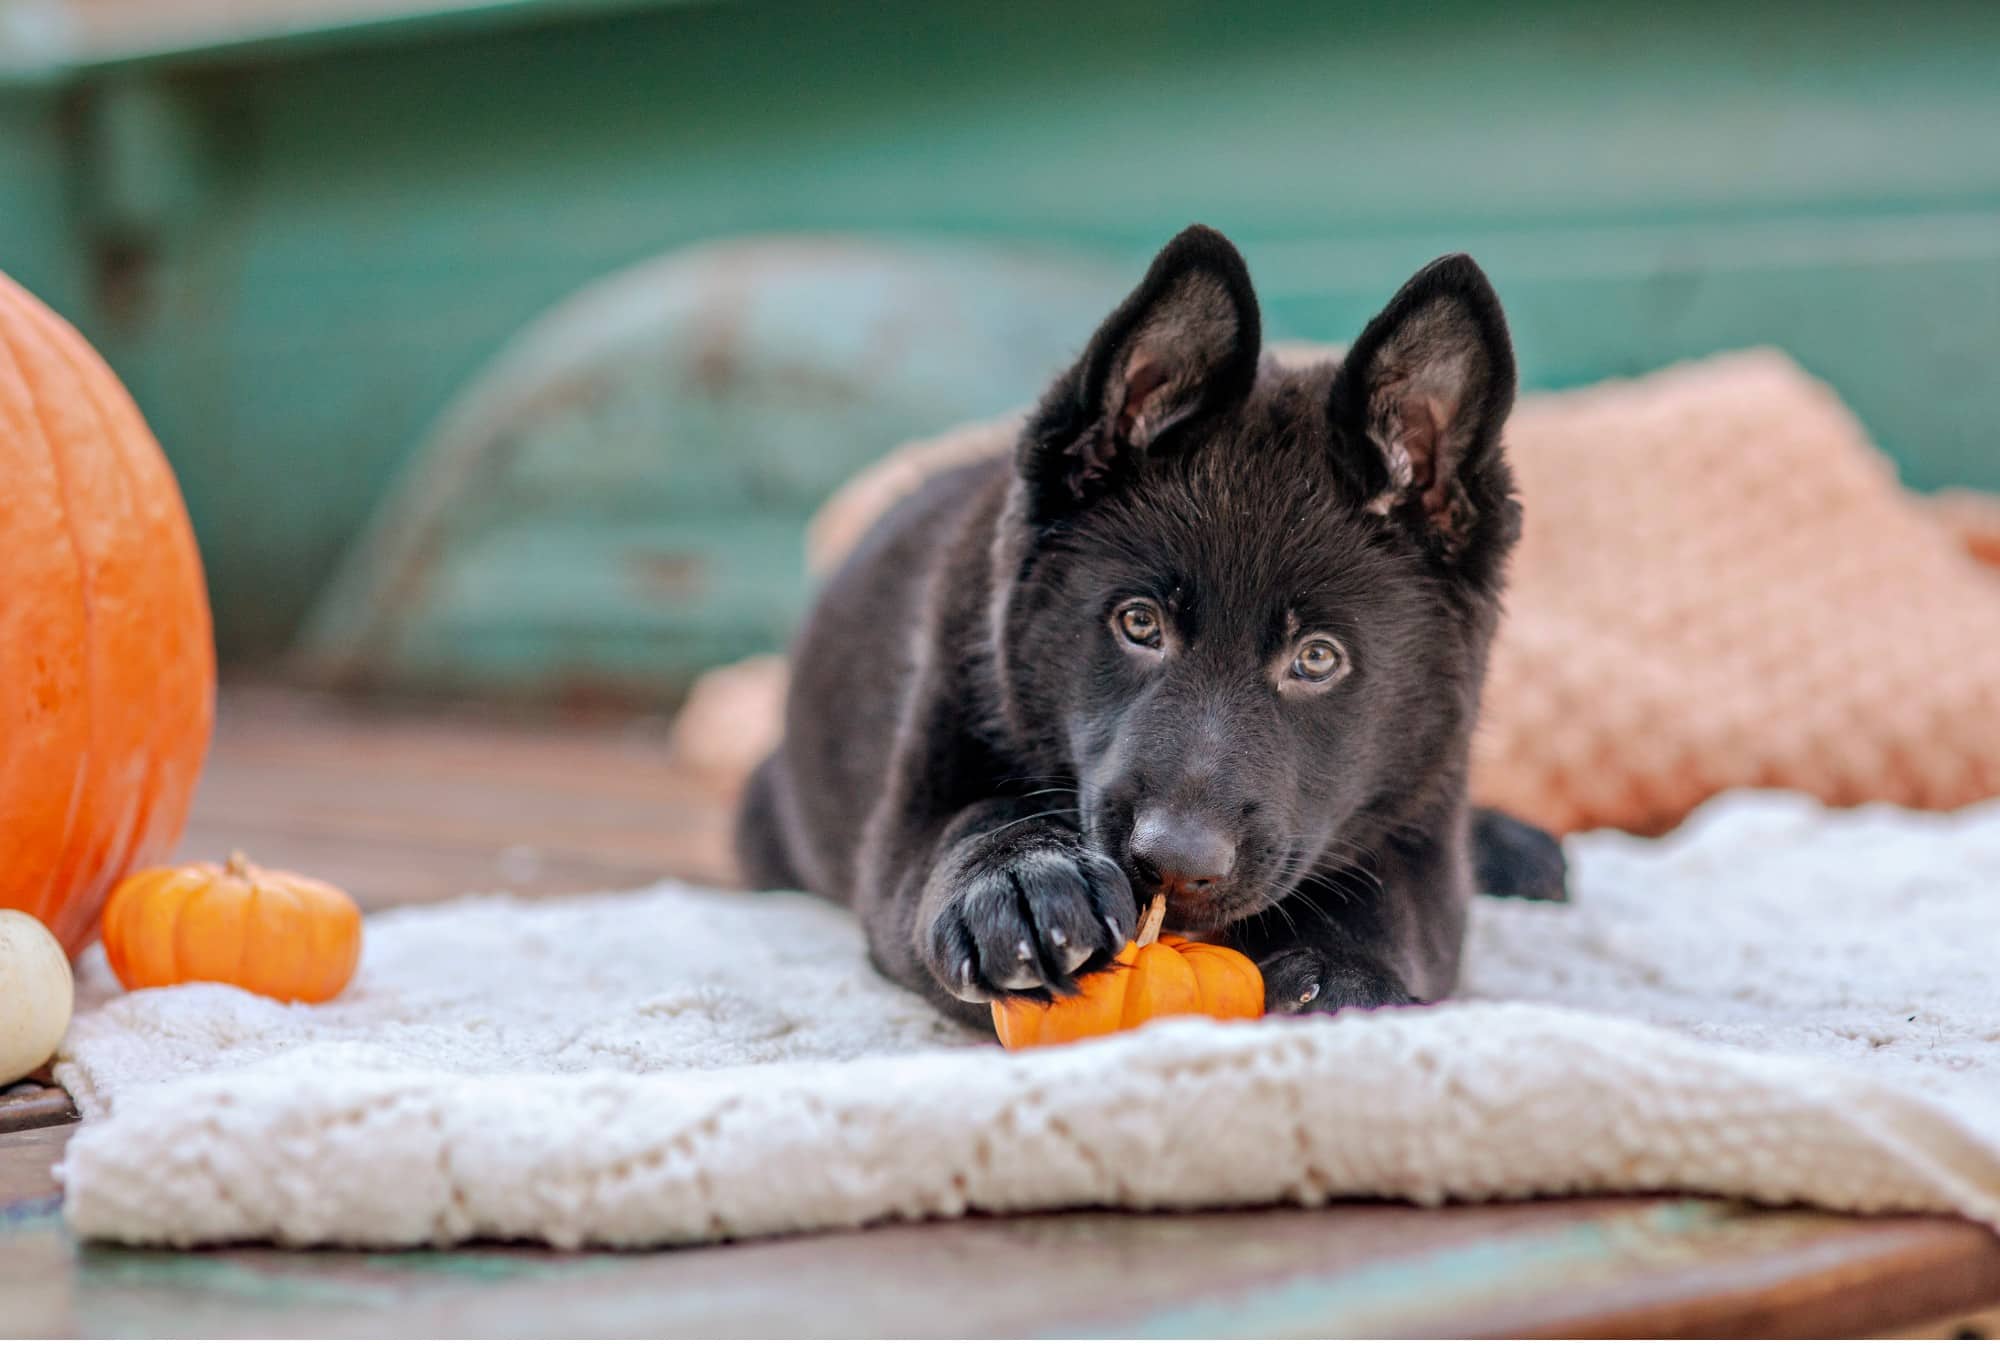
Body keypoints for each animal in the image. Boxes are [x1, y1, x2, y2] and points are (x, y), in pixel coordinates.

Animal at [736, 226, 1560, 1024]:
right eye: (1139, 623)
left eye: (1318, 659)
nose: (1175, 863)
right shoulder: (915, 803)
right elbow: (965, 825)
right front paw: (1020, 878)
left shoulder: (1421, 813)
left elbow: (1388, 903)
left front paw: (1346, 975)